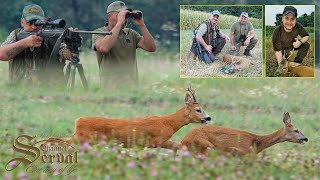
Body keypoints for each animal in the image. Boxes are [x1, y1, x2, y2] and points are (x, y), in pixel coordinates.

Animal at [66, 85, 211, 150]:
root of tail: (78, 120)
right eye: (198, 110)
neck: (167, 124)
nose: (209, 117)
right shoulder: (153, 142)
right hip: (83, 139)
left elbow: (179, 146)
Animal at [180, 112, 308, 155]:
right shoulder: (239, 153)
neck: (256, 143)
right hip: (206, 147)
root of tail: (184, 140)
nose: (306, 138)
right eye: (296, 130)